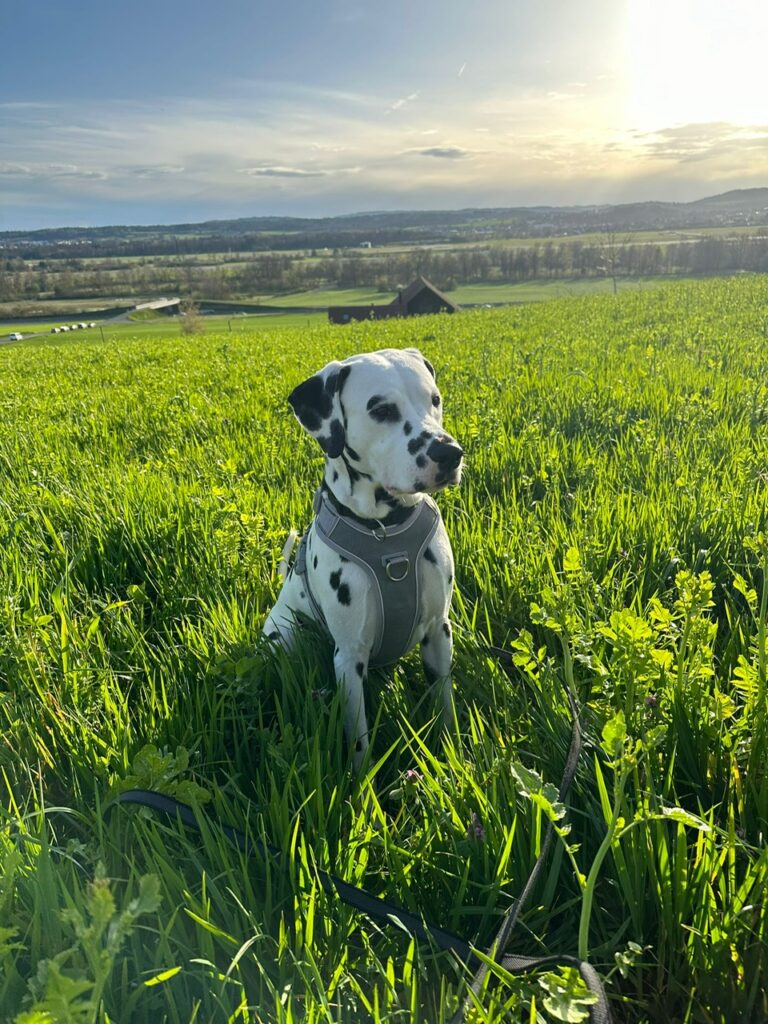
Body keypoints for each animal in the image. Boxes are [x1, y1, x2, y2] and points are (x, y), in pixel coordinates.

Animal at [264, 348, 462, 770]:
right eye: (382, 410)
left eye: (435, 399)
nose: (450, 453)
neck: (385, 534)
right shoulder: (348, 659)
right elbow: (359, 741)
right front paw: (363, 782)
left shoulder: (439, 631)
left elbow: (444, 705)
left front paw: (454, 756)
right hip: (283, 636)